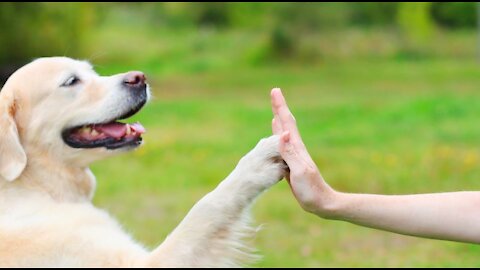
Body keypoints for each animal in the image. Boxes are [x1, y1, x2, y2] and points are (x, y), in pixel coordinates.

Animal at [0, 57, 286, 268]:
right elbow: (206, 208)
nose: (139, 78)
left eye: (92, 72)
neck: (35, 186)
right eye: (71, 81)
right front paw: (258, 162)